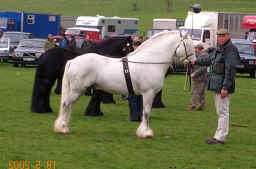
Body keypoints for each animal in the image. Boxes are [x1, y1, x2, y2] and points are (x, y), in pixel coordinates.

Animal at [54, 30, 196, 138]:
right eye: (188, 45)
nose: (193, 61)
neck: (150, 61)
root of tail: (73, 60)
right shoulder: (148, 93)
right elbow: (146, 112)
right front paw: (146, 133)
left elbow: (144, 112)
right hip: (76, 91)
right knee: (66, 104)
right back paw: (62, 128)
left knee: (67, 106)